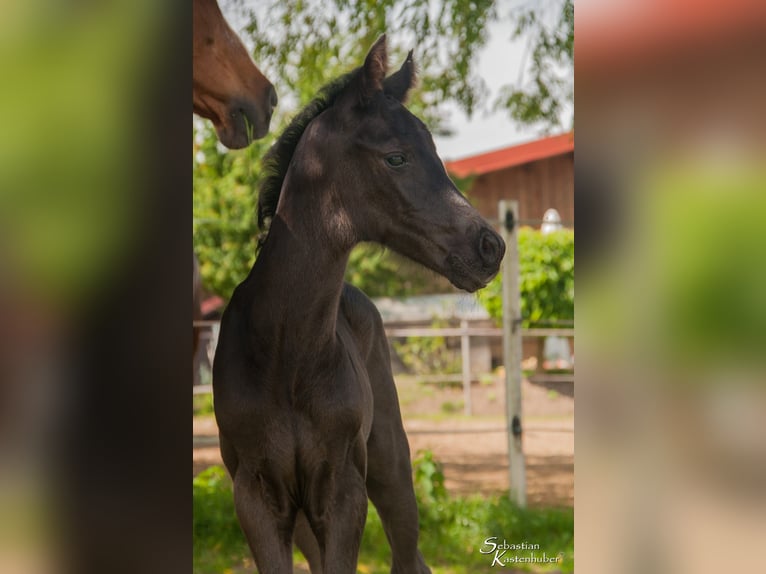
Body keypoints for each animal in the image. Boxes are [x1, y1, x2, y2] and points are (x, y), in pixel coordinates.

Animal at [213, 37, 508, 574]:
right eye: (395, 158)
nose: (489, 248)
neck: (285, 354)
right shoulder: (257, 499)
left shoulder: (344, 493)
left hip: (391, 466)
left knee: (409, 556)